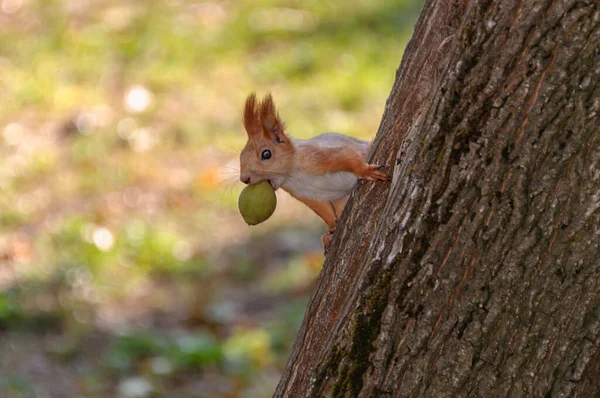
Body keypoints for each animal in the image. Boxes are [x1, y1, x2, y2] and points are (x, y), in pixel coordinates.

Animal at [239, 92, 390, 250]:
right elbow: (323, 210)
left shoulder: (318, 157)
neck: (293, 176)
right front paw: (331, 228)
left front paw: (365, 171)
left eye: (266, 154)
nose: (244, 178)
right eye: (241, 156)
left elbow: (347, 156)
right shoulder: (307, 196)